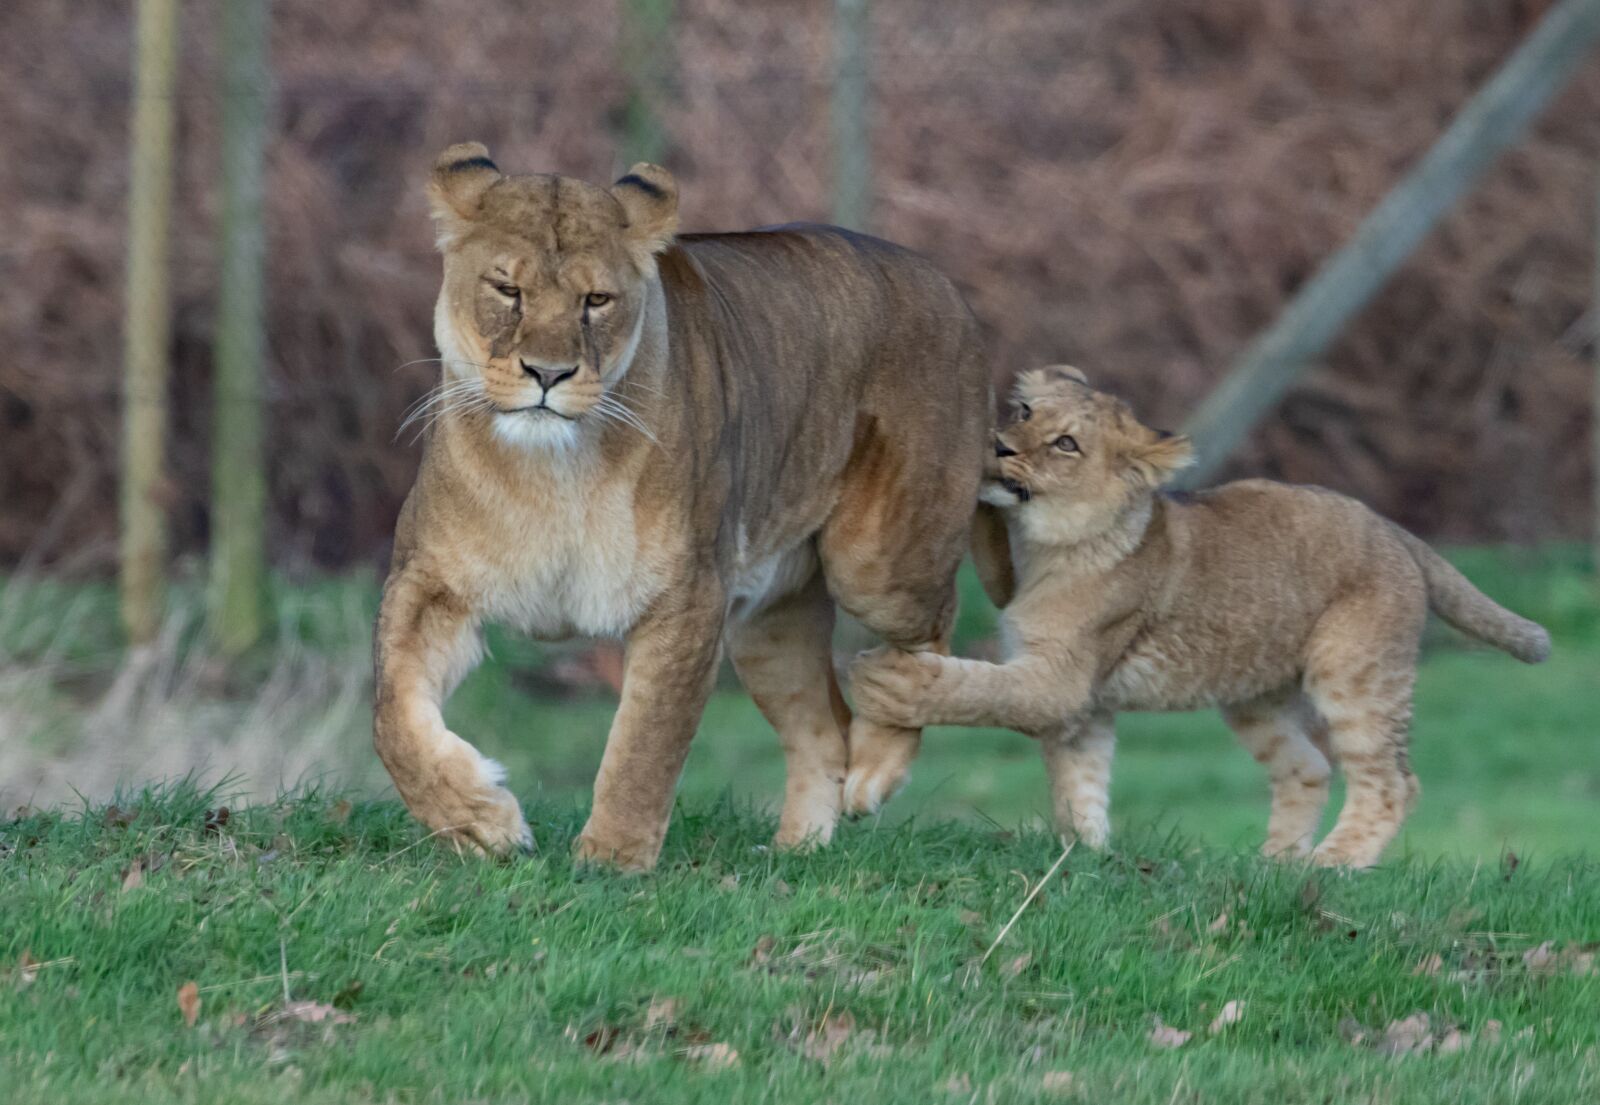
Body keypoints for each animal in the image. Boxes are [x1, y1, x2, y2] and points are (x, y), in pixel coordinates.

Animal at [372, 143, 991, 868]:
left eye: (596, 300)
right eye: (507, 290)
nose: (548, 374)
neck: (550, 473)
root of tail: (945, 282)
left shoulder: (688, 596)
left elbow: (646, 742)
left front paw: (610, 860)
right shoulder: (428, 582)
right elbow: (391, 715)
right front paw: (477, 822)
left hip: (879, 567)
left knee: (930, 631)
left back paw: (875, 771)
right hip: (769, 623)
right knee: (822, 729)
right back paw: (796, 852)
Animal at [851, 367, 1551, 867]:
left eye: (1066, 444)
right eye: (1024, 411)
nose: (995, 447)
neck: (1041, 544)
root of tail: (1395, 530)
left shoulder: (1062, 680)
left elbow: (980, 691)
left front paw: (891, 683)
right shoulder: (1084, 706)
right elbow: (1080, 783)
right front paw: (1087, 856)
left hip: (1355, 678)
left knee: (1391, 783)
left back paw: (1332, 865)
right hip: (1255, 694)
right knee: (1309, 767)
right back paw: (1272, 867)